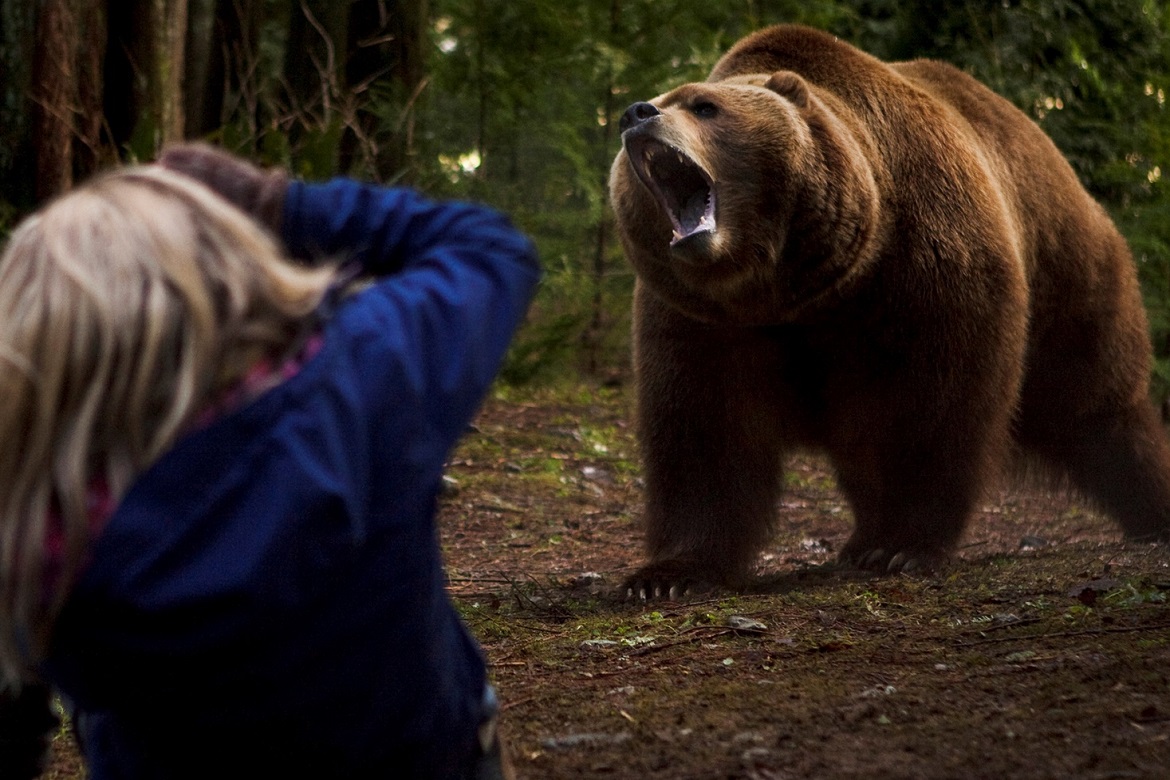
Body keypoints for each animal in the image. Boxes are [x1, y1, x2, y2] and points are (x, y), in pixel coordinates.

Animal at [608, 22, 1170, 598]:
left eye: (705, 106)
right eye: (661, 99)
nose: (635, 113)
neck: (791, 288)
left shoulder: (923, 267)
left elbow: (931, 406)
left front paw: (902, 546)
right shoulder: (703, 321)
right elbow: (704, 434)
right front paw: (667, 574)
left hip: (1068, 276)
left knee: (1099, 408)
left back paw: (1152, 511)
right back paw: (859, 539)